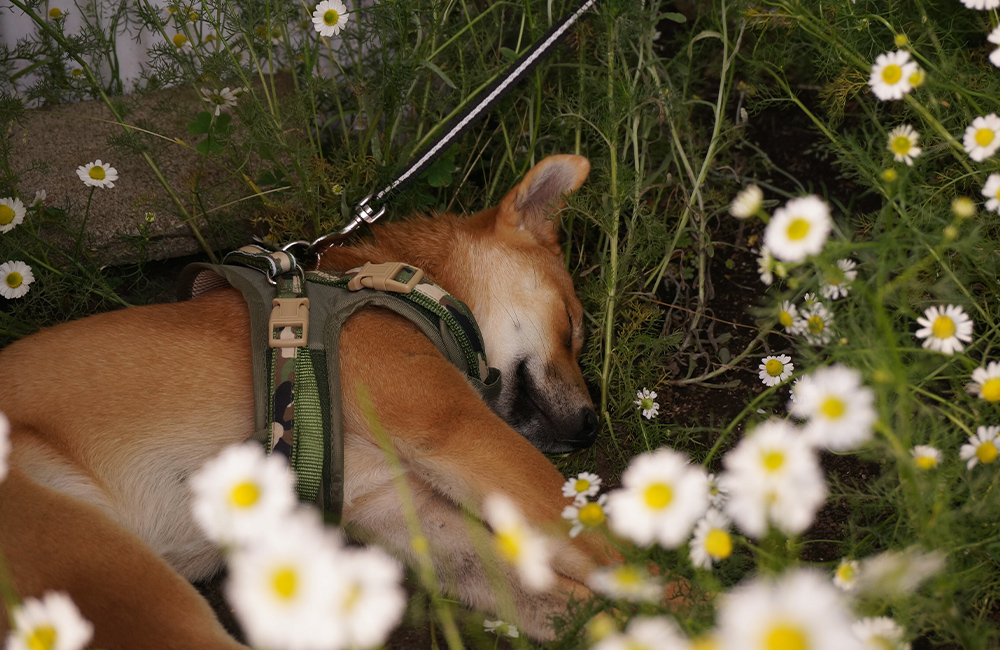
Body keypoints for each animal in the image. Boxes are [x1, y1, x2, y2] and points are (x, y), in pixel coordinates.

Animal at [0, 154, 624, 644]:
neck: (410, 290)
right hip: (125, 584)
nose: (592, 427)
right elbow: (604, 546)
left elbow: (562, 595)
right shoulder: (454, 431)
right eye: (573, 327)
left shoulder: (402, 511)